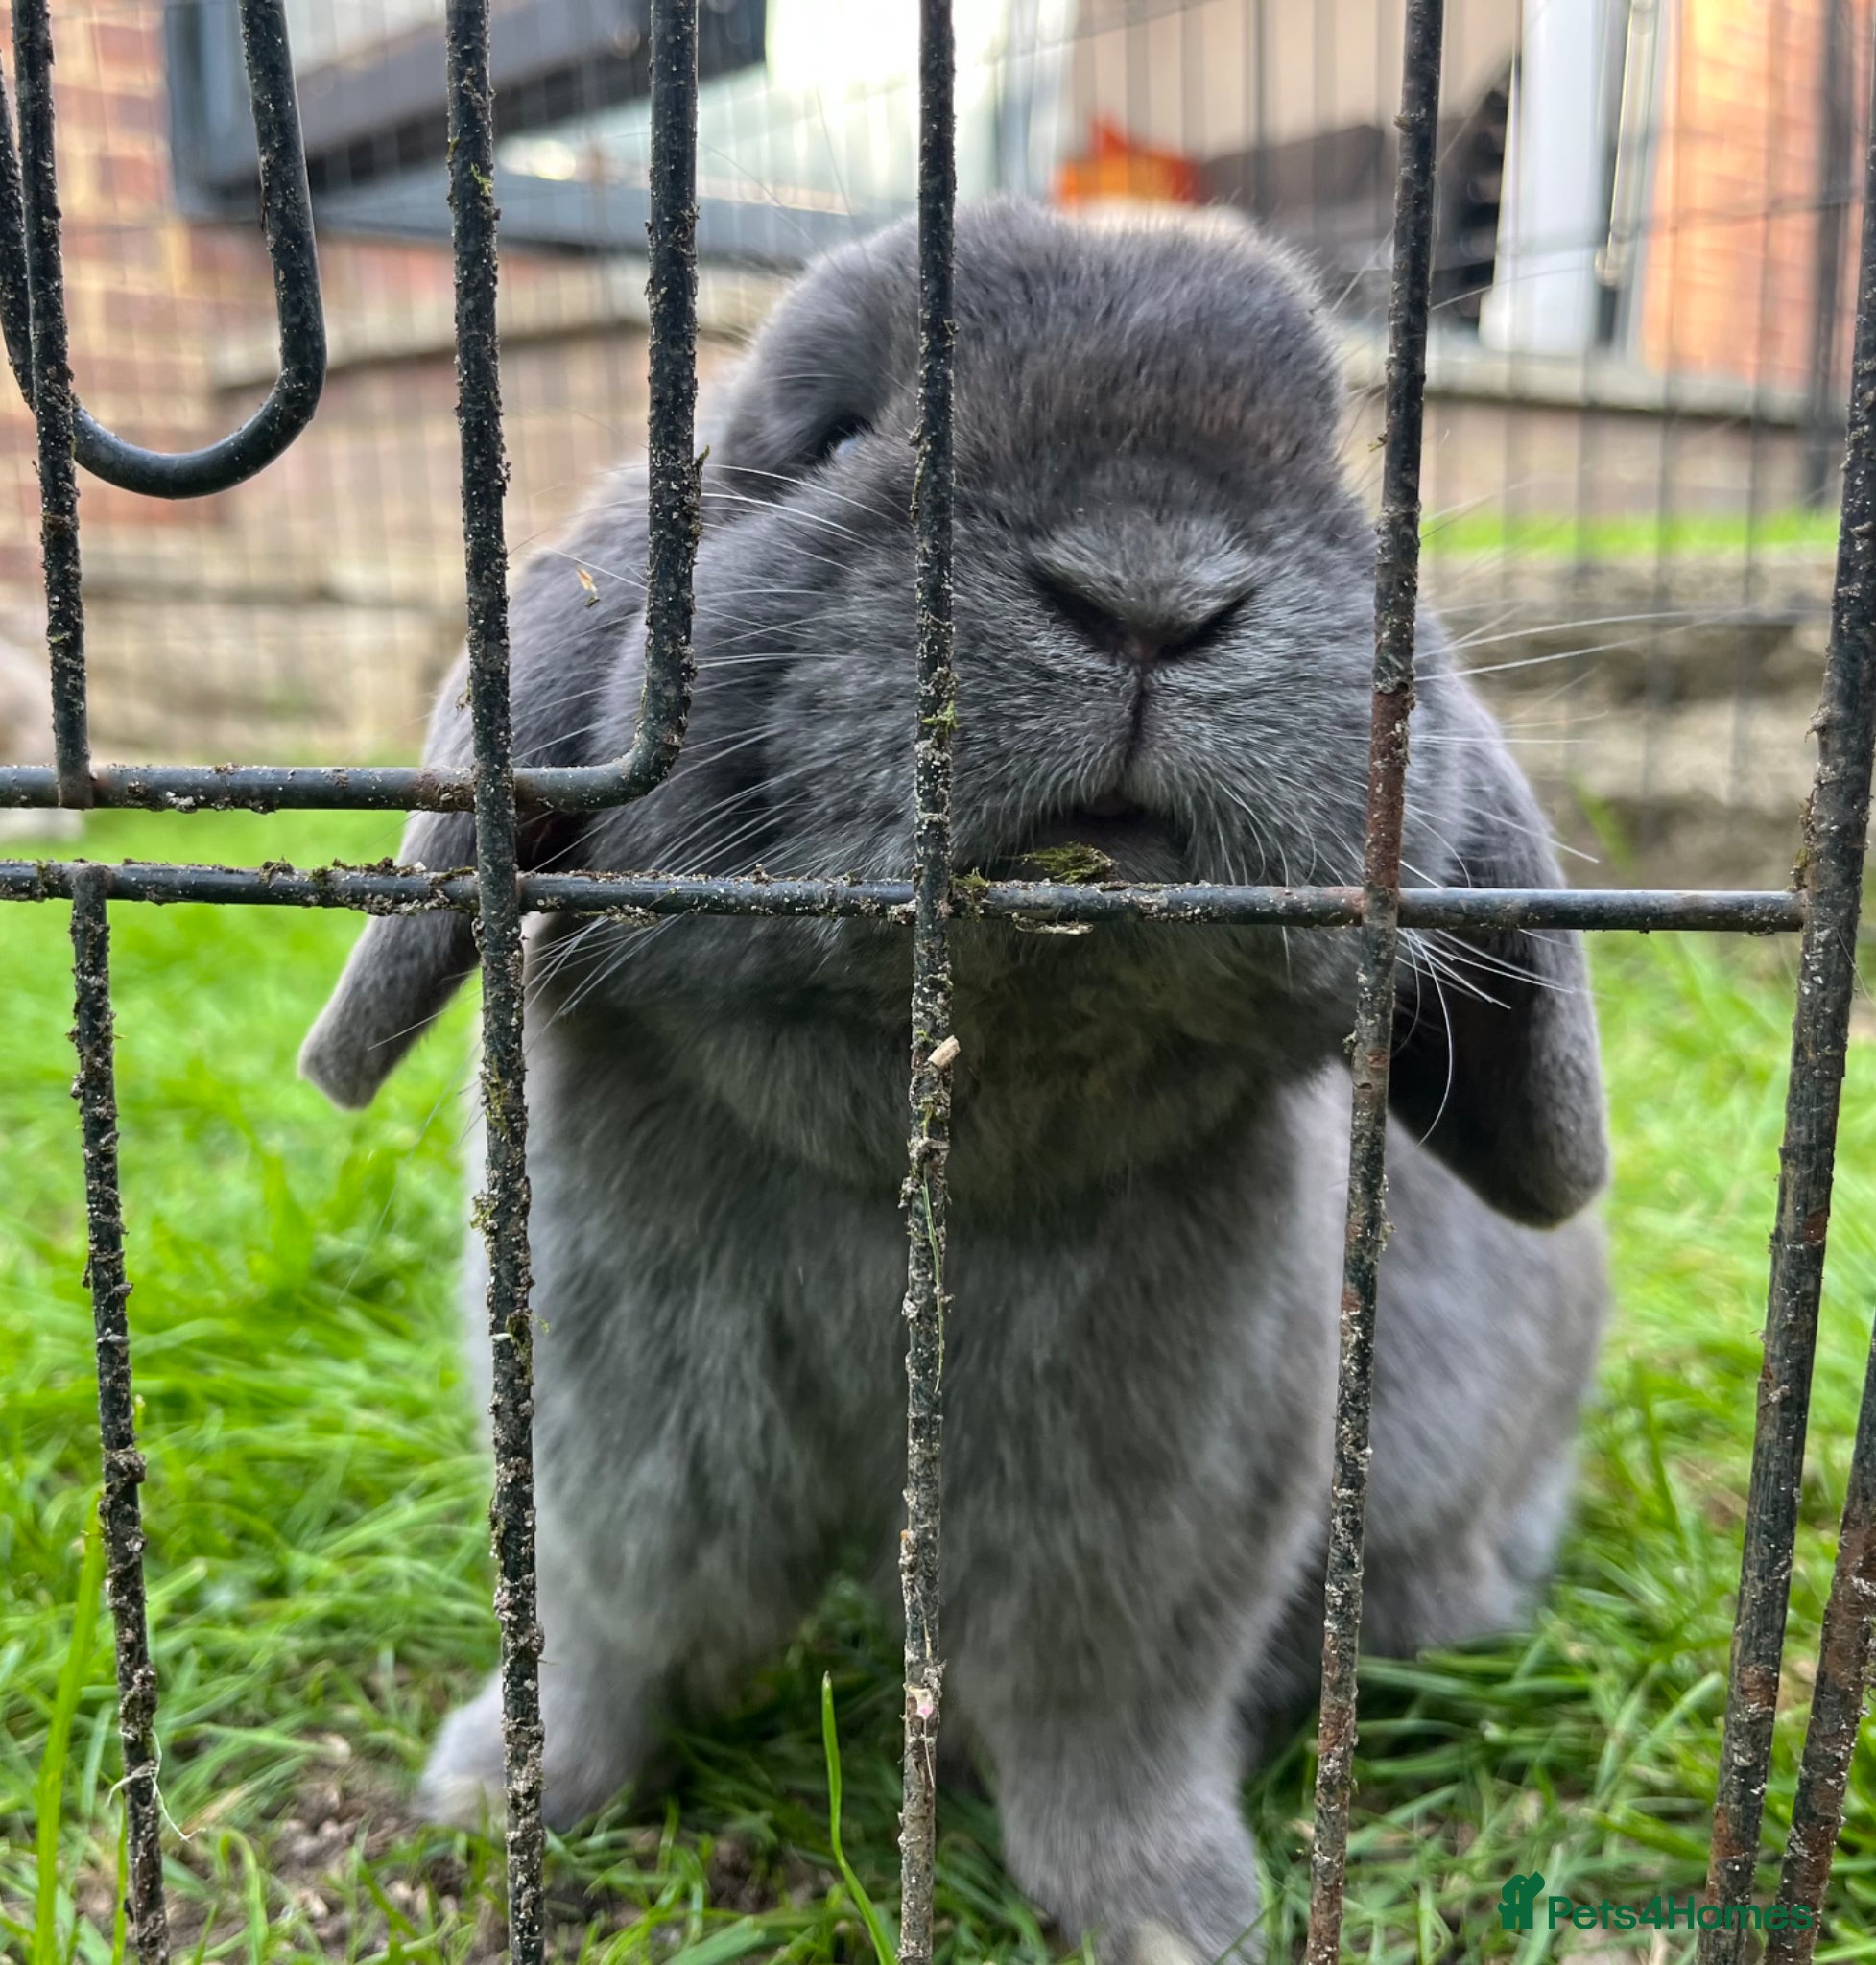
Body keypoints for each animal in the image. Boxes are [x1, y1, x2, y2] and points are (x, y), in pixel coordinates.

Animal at [299, 200, 1609, 1964]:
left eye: (1335, 471)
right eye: (837, 432)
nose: (1149, 595)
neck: (926, 1153)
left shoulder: (1147, 1531)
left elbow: (1103, 1735)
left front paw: (1176, 1921)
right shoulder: (619, 1445)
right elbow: (607, 1632)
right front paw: (498, 1798)